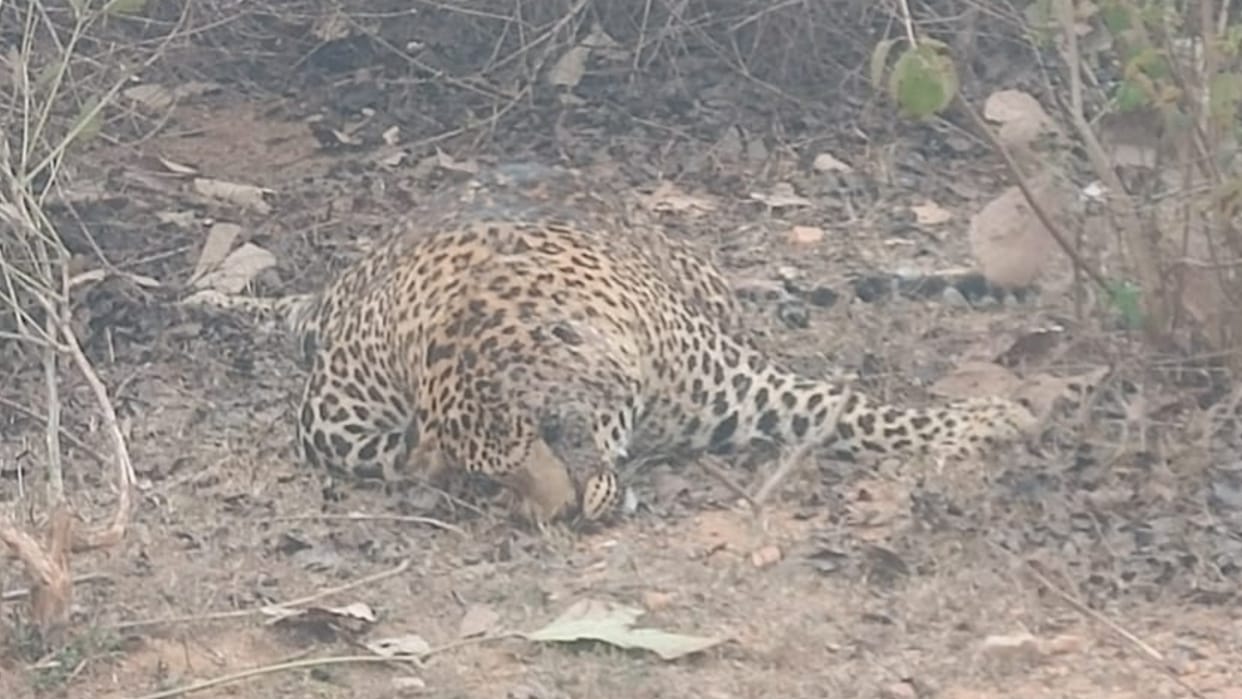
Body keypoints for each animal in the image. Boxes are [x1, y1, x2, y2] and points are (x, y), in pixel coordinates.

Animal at [279, 205, 1041, 529]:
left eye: (558, 429)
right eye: (492, 474)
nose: (560, 517)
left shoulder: (752, 387)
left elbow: (855, 409)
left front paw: (989, 420)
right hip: (336, 409)